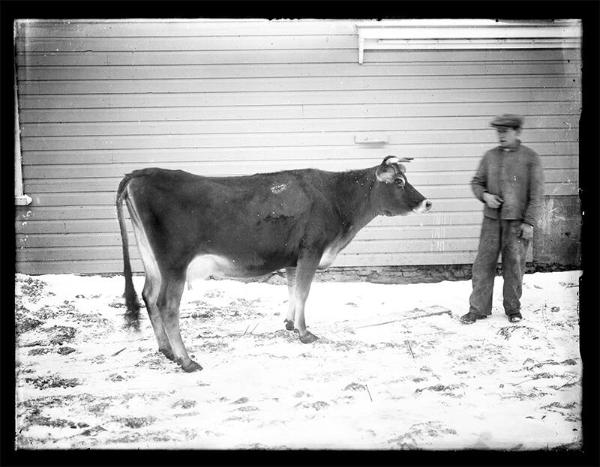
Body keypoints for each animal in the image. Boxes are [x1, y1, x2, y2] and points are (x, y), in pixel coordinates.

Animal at [115, 157, 428, 372]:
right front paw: (304, 333)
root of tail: (140, 173)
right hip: (174, 263)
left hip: (151, 259)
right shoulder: (311, 250)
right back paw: (186, 360)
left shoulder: (293, 258)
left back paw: (166, 350)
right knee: (167, 305)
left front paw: (290, 324)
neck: (337, 201)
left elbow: (293, 290)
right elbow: (303, 292)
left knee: (148, 296)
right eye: (398, 182)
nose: (427, 203)